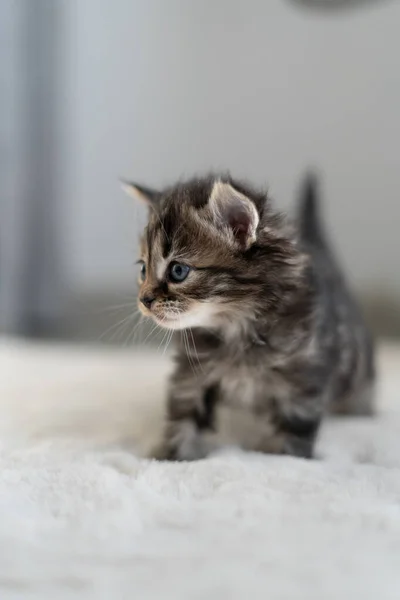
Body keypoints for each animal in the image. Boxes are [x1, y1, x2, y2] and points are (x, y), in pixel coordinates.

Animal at [122, 173, 376, 460]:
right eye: (143, 270)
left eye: (178, 271)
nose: (144, 300)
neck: (237, 327)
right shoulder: (191, 373)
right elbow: (184, 416)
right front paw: (173, 456)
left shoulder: (303, 379)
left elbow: (293, 431)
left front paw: (283, 457)